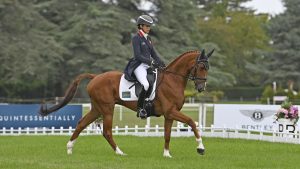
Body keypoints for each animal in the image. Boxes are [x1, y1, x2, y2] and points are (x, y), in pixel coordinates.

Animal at [39, 48, 213, 157]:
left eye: (208, 68)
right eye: (201, 66)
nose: (201, 87)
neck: (172, 79)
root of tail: (95, 77)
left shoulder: (169, 114)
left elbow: (167, 135)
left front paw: (166, 154)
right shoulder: (171, 112)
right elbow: (192, 122)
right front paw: (200, 148)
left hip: (97, 108)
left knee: (82, 123)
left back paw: (69, 148)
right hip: (107, 108)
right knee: (106, 131)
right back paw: (119, 152)